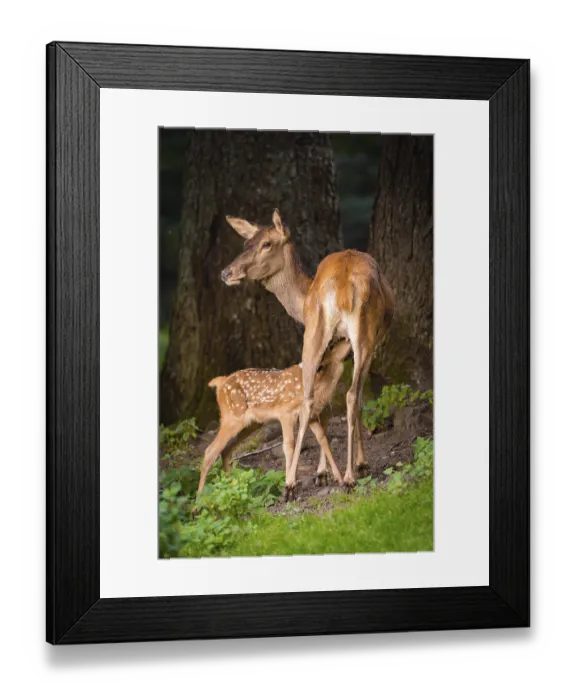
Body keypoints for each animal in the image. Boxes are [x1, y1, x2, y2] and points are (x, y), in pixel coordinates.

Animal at [197, 338, 352, 495]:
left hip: (252, 423)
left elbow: (322, 438)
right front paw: (289, 487)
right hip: (232, 417)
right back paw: (199, 498)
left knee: (225, 450)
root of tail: (220, 382)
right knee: (210, 451)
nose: (348, 341)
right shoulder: (286, 413)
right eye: (330, 346)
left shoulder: (311, 416)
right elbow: (289, 445)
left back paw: (232, 486)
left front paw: (340, 480)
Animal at [221, 209, 395, 500]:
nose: (226, 272)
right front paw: (354, 465)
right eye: (246, 243)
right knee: (347, 396)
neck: (301, 300)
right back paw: (345, 477)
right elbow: (349, 401)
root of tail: (345, 284)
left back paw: (293, 484)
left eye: (266, 244)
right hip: (358, 335)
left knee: (312, 399)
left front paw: (326, 472)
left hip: (320, 333)